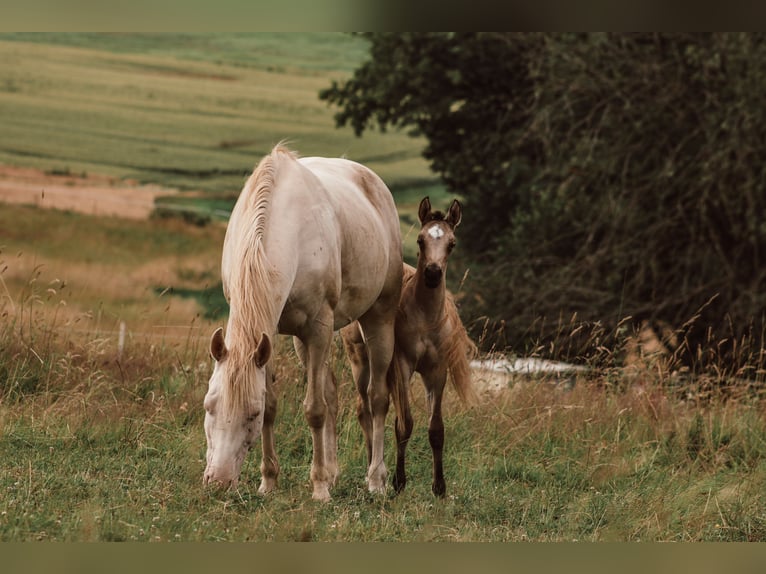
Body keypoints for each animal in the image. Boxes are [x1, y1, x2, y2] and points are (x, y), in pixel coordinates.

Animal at [203, 144, 402, 501]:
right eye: (209, 406)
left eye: (250, 414)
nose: (219, 482)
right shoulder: (268, 336)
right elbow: (277, 404)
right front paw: (268, 482)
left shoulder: (319, 327)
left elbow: (315, 409)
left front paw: (319, 488)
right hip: (301, 339)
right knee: (332, 393)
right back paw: (335, 473)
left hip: (378, 316)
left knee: (377, 397)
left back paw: (375, 480)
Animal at [341, 196, 477, 497]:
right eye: (420, 240)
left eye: (452, 243)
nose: (433, 274)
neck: (425, 318)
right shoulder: (402, 367)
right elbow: (404, 425)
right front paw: (399, 482)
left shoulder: (437, 372)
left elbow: (436, 429)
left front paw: (439, 487)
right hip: (359, 359)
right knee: (364, 409)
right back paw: (371, 470)